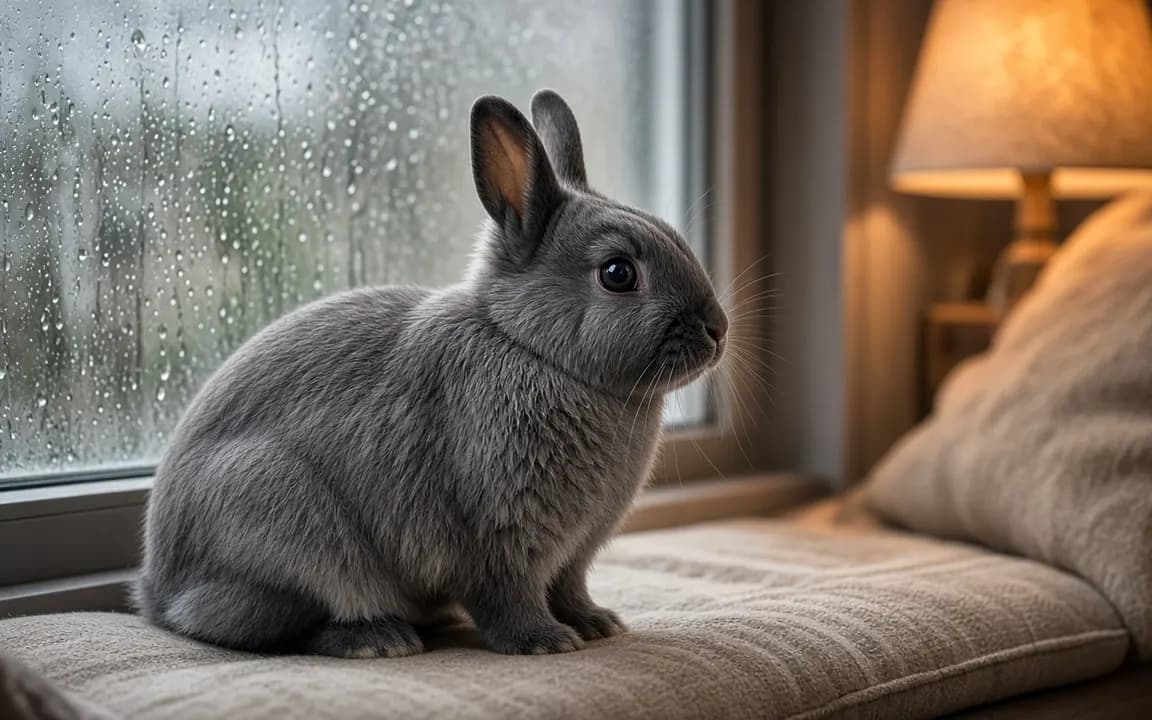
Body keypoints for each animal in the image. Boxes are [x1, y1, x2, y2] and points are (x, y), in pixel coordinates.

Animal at [135, 89, 728, 658]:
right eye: (618, 273)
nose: (718, 329)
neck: (528, 346)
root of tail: (157, 593)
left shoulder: (575, 552)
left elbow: (570, 587)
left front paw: (596, 623)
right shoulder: (497, 535)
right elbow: (507, 595)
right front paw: (544, 640)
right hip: (279, 517)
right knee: (281, 623)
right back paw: (376, 640)